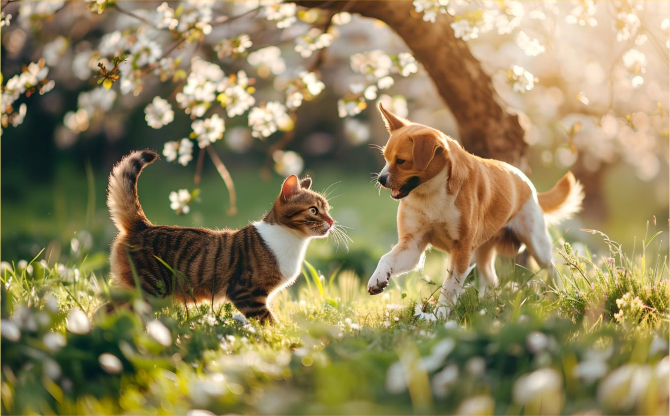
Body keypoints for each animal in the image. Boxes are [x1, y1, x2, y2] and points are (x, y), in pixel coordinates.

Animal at [107, 150, 336, 324]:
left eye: (328, 209)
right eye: (314, 210)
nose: (332, 221)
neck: (293, 241)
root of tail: (143, 226)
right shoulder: (246, 293)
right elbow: (268, 322)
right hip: (148, 291)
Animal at [370, 102, 584, 316]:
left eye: (401, 161)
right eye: (385, 157)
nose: (380, 179)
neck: (430, 194)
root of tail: (524, 179)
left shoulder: (462, 248)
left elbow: (450, 286)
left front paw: (440, 314)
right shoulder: (412, 244)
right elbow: (386, 258)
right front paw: (378, 278)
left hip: (536, 244)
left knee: (551, 267)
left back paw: (557, 293)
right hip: (482, 252)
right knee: (491, 278)